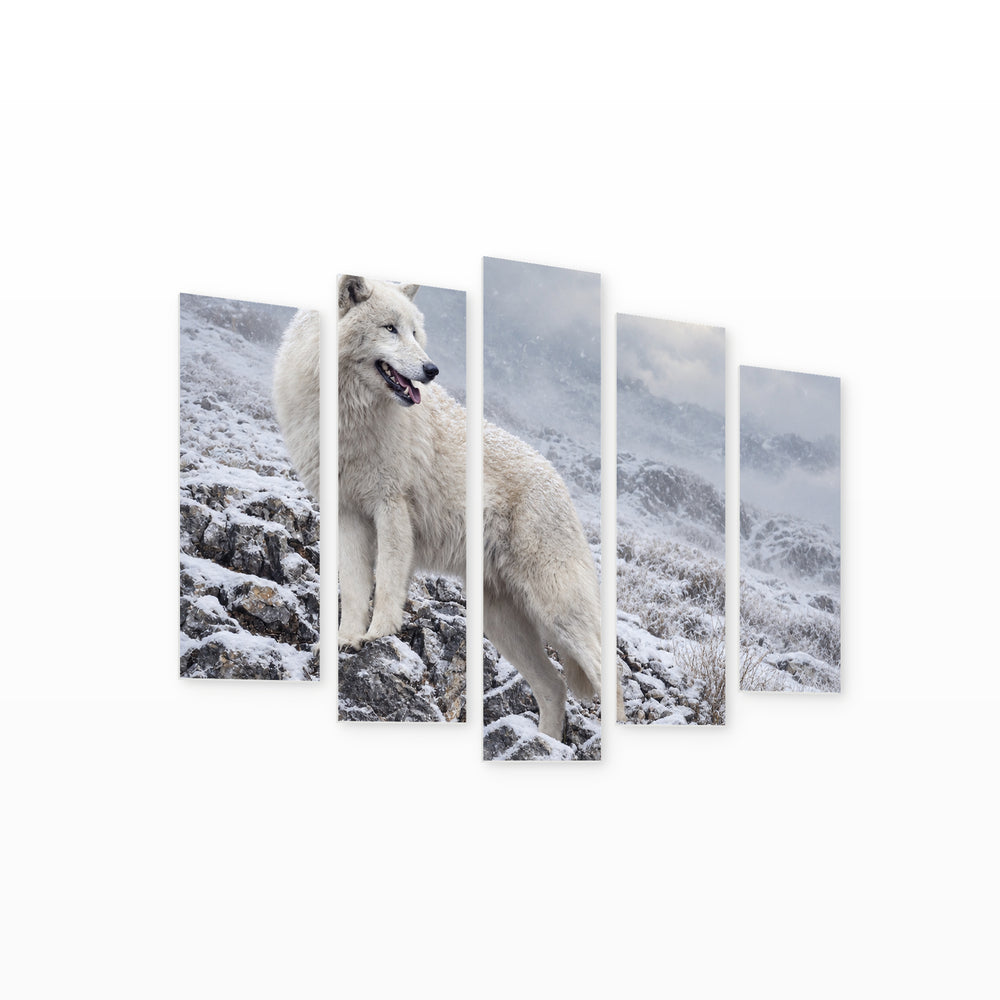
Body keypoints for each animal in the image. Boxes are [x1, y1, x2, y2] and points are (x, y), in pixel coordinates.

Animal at [336, 274, 602, 742]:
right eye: (390, 329)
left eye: (414, 331)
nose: (431, 371)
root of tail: (560, 481)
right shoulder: (348, 508)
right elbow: (352, 586)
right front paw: (345, 641)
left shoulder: (391, 502)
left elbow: (387, 579)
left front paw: (378, 635)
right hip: (501, 619)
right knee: (554, 686)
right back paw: (545, 743)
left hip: (556, 610)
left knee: (606, 675)